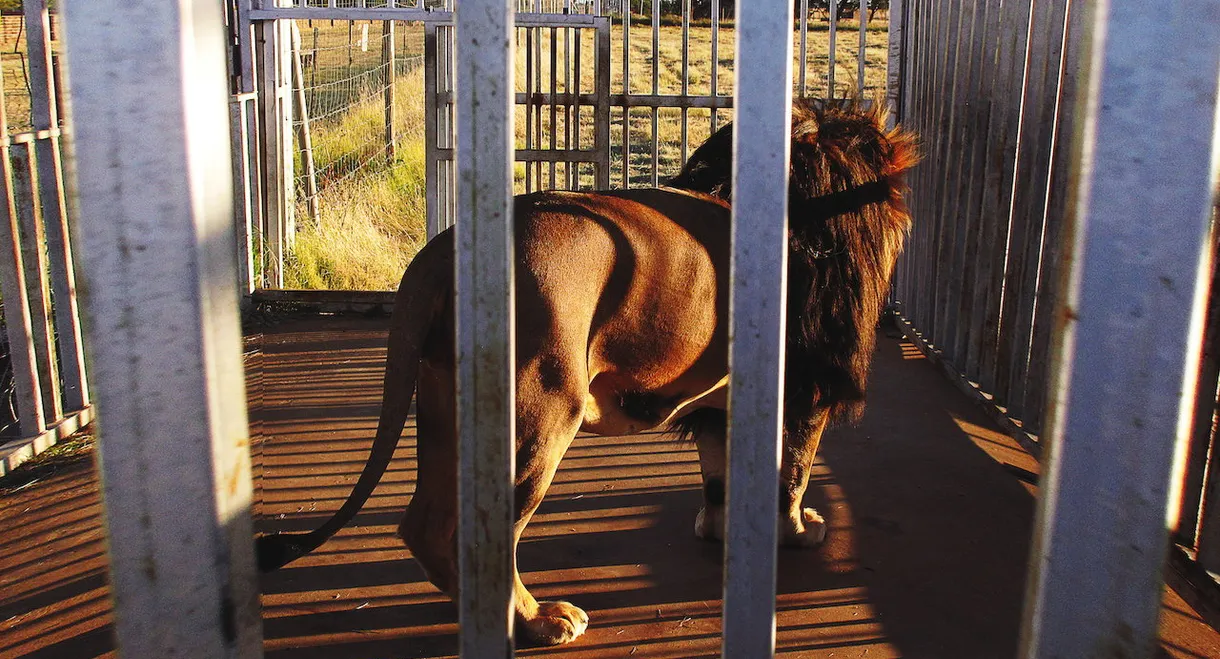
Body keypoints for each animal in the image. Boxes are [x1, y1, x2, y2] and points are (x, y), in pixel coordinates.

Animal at [256, 100, 919, 646]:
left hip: (444, 401)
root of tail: (442, 251)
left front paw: (716, 528)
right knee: (473, 532)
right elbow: (793, 476)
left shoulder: (721, 400)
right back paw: (536, 621)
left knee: (424, 523)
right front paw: (798, 531)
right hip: (540, 411)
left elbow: (717, 475)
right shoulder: (806, 387)